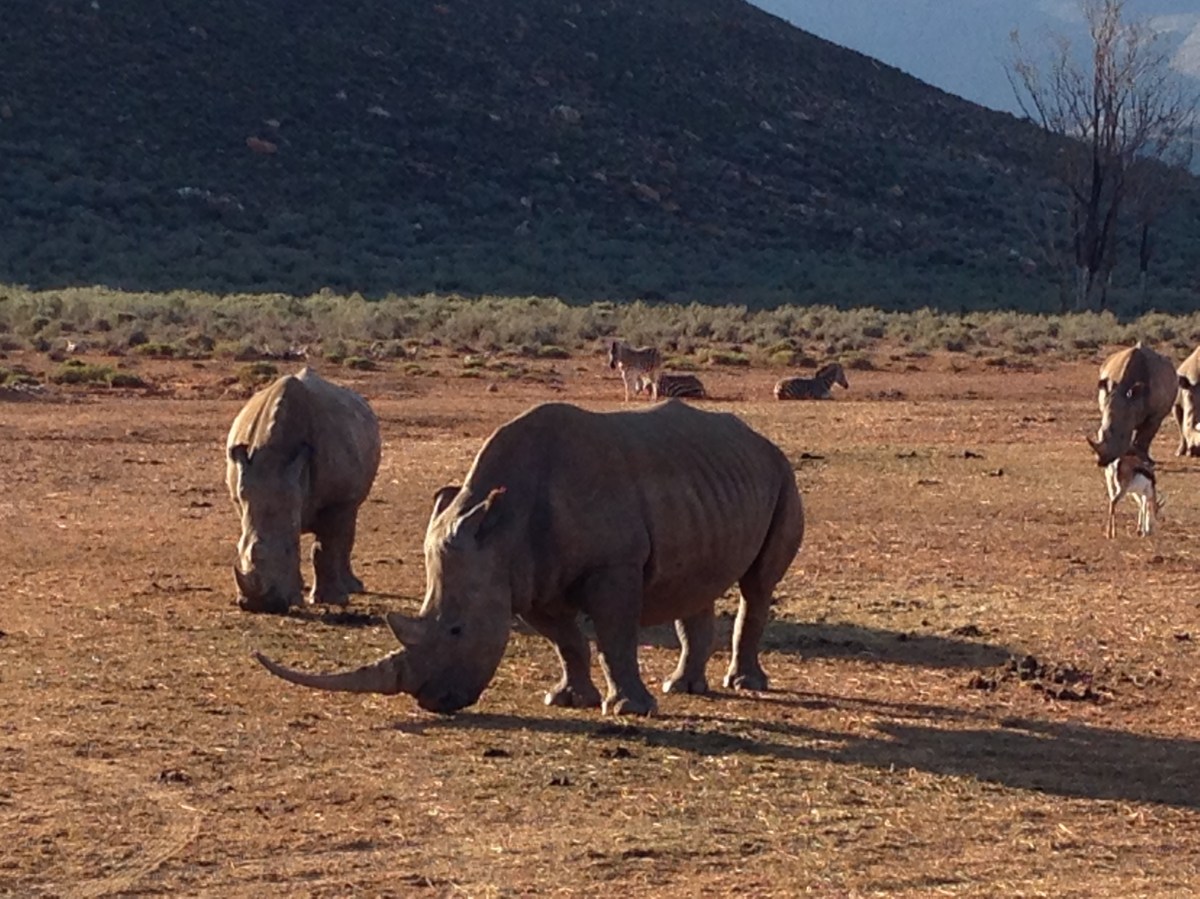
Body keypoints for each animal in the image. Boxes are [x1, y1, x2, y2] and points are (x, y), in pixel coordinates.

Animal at [227, 367, 381, 613]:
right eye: (238, 549)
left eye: (291, 550)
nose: (262, 606)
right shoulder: (242, 494)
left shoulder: (337, 501)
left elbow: (327, 546)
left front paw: (332, 600)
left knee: (348, 525)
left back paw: (353, 588)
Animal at [255, 400, 804, 716]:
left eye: (457, 631)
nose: (434, 702)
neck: (503, 524)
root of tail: (758, 438)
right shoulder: (528, 578)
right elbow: (568, 642)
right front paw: (568, 699)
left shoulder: (613, 567)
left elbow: (615, 637)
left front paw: (628, 710)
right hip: (706, 482)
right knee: (696, 579)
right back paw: (683, 688)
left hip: (782, 473)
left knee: (758, 584)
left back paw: (745, 684)